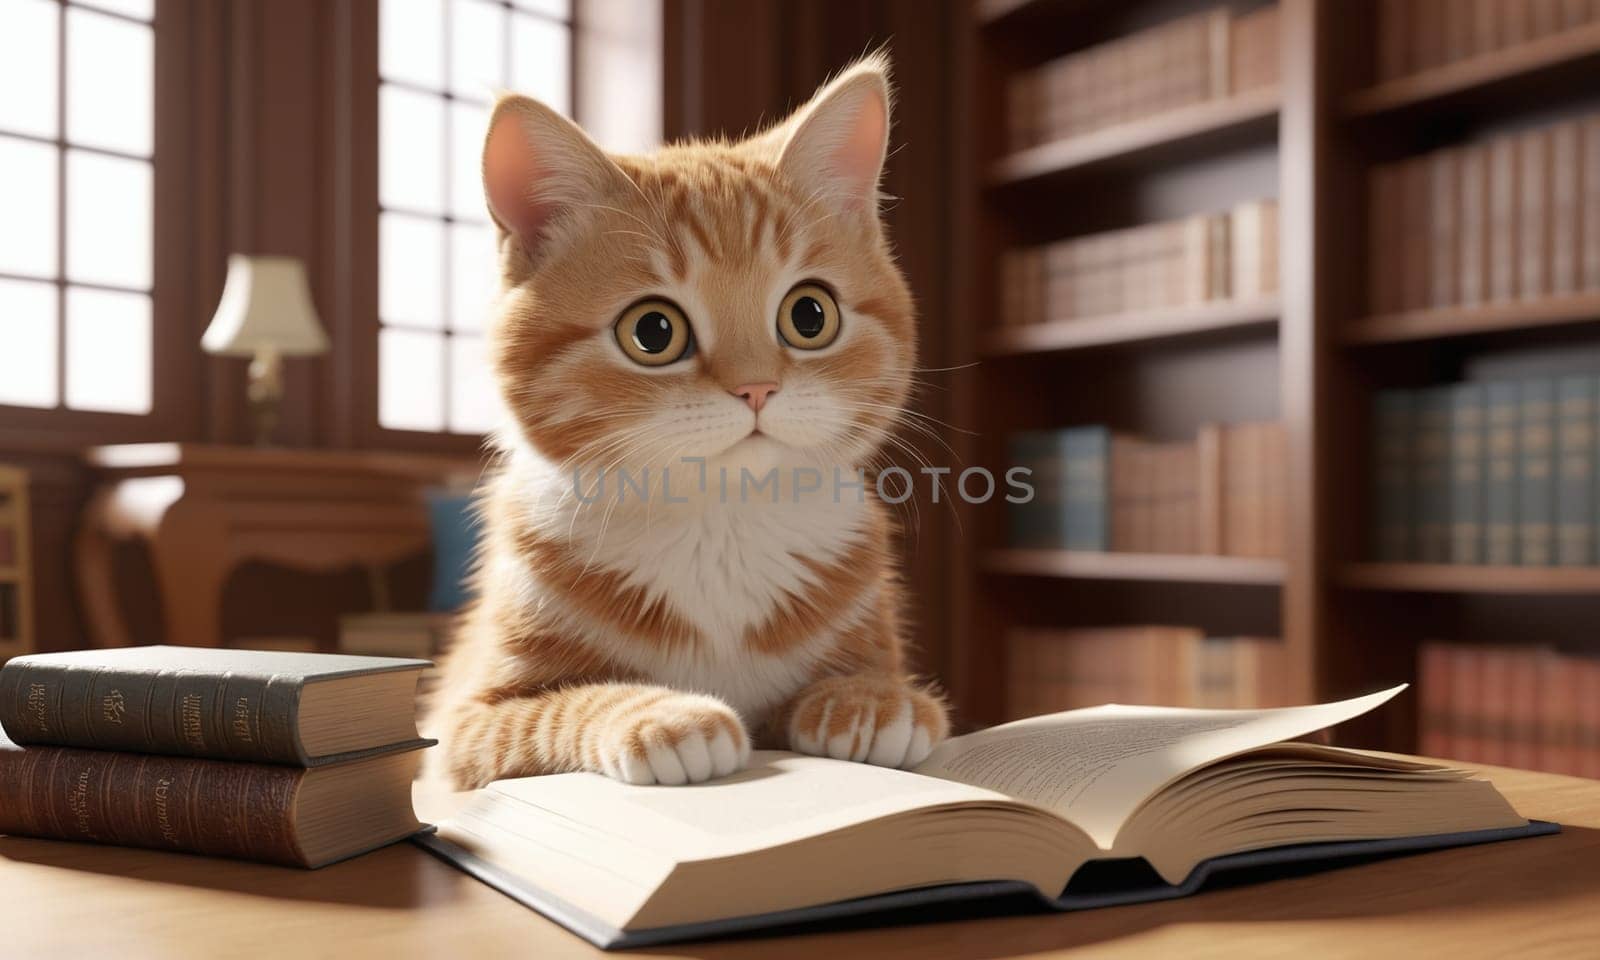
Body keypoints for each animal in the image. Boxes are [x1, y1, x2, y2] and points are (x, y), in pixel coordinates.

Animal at [428, 54, 947, 787]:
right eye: (653, 330)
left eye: (810, 314)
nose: (756, 386)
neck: (719, 524)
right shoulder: (462, 727)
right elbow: (555, 706)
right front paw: (664, 715)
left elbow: (854, 685)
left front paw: (872, 701)